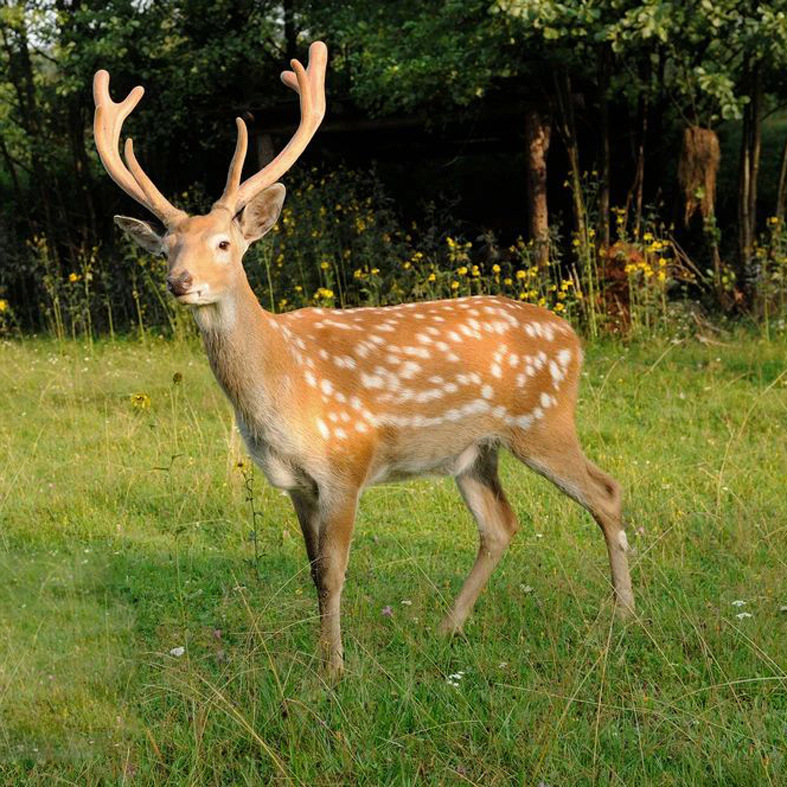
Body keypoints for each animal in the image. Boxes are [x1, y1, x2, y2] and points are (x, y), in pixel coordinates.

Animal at [94, 40, 636, 676]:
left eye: (224, 244)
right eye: (166, 248)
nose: (180, 282)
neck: (282, 385)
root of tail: (572, 337)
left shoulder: (346, 465)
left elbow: (333, 574)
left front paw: (333, 671)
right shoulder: (296, 484)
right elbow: (312, 575)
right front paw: (322, 660)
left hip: (544, 420)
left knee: (606, 492)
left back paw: (623, 617)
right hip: (473, 451)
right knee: (502, 524)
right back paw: (447, 627)